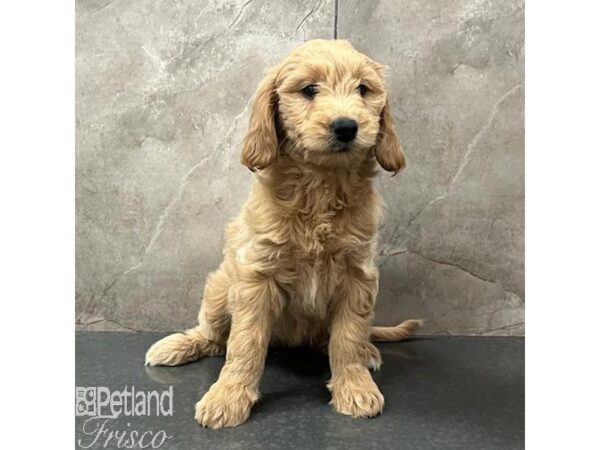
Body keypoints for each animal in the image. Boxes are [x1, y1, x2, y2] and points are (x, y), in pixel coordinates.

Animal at [145, 40, 422, 430]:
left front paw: (354, 386)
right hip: (219, 290)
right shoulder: (257, 276)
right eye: (308, 90)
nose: (346, 127)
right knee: (214, 337)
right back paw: (178, 346)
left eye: (363, 90)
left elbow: (348, 336)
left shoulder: (358, 276)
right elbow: (244, 343)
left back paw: (367, 351)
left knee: (338, 339)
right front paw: (228, 396)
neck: (321, 183)